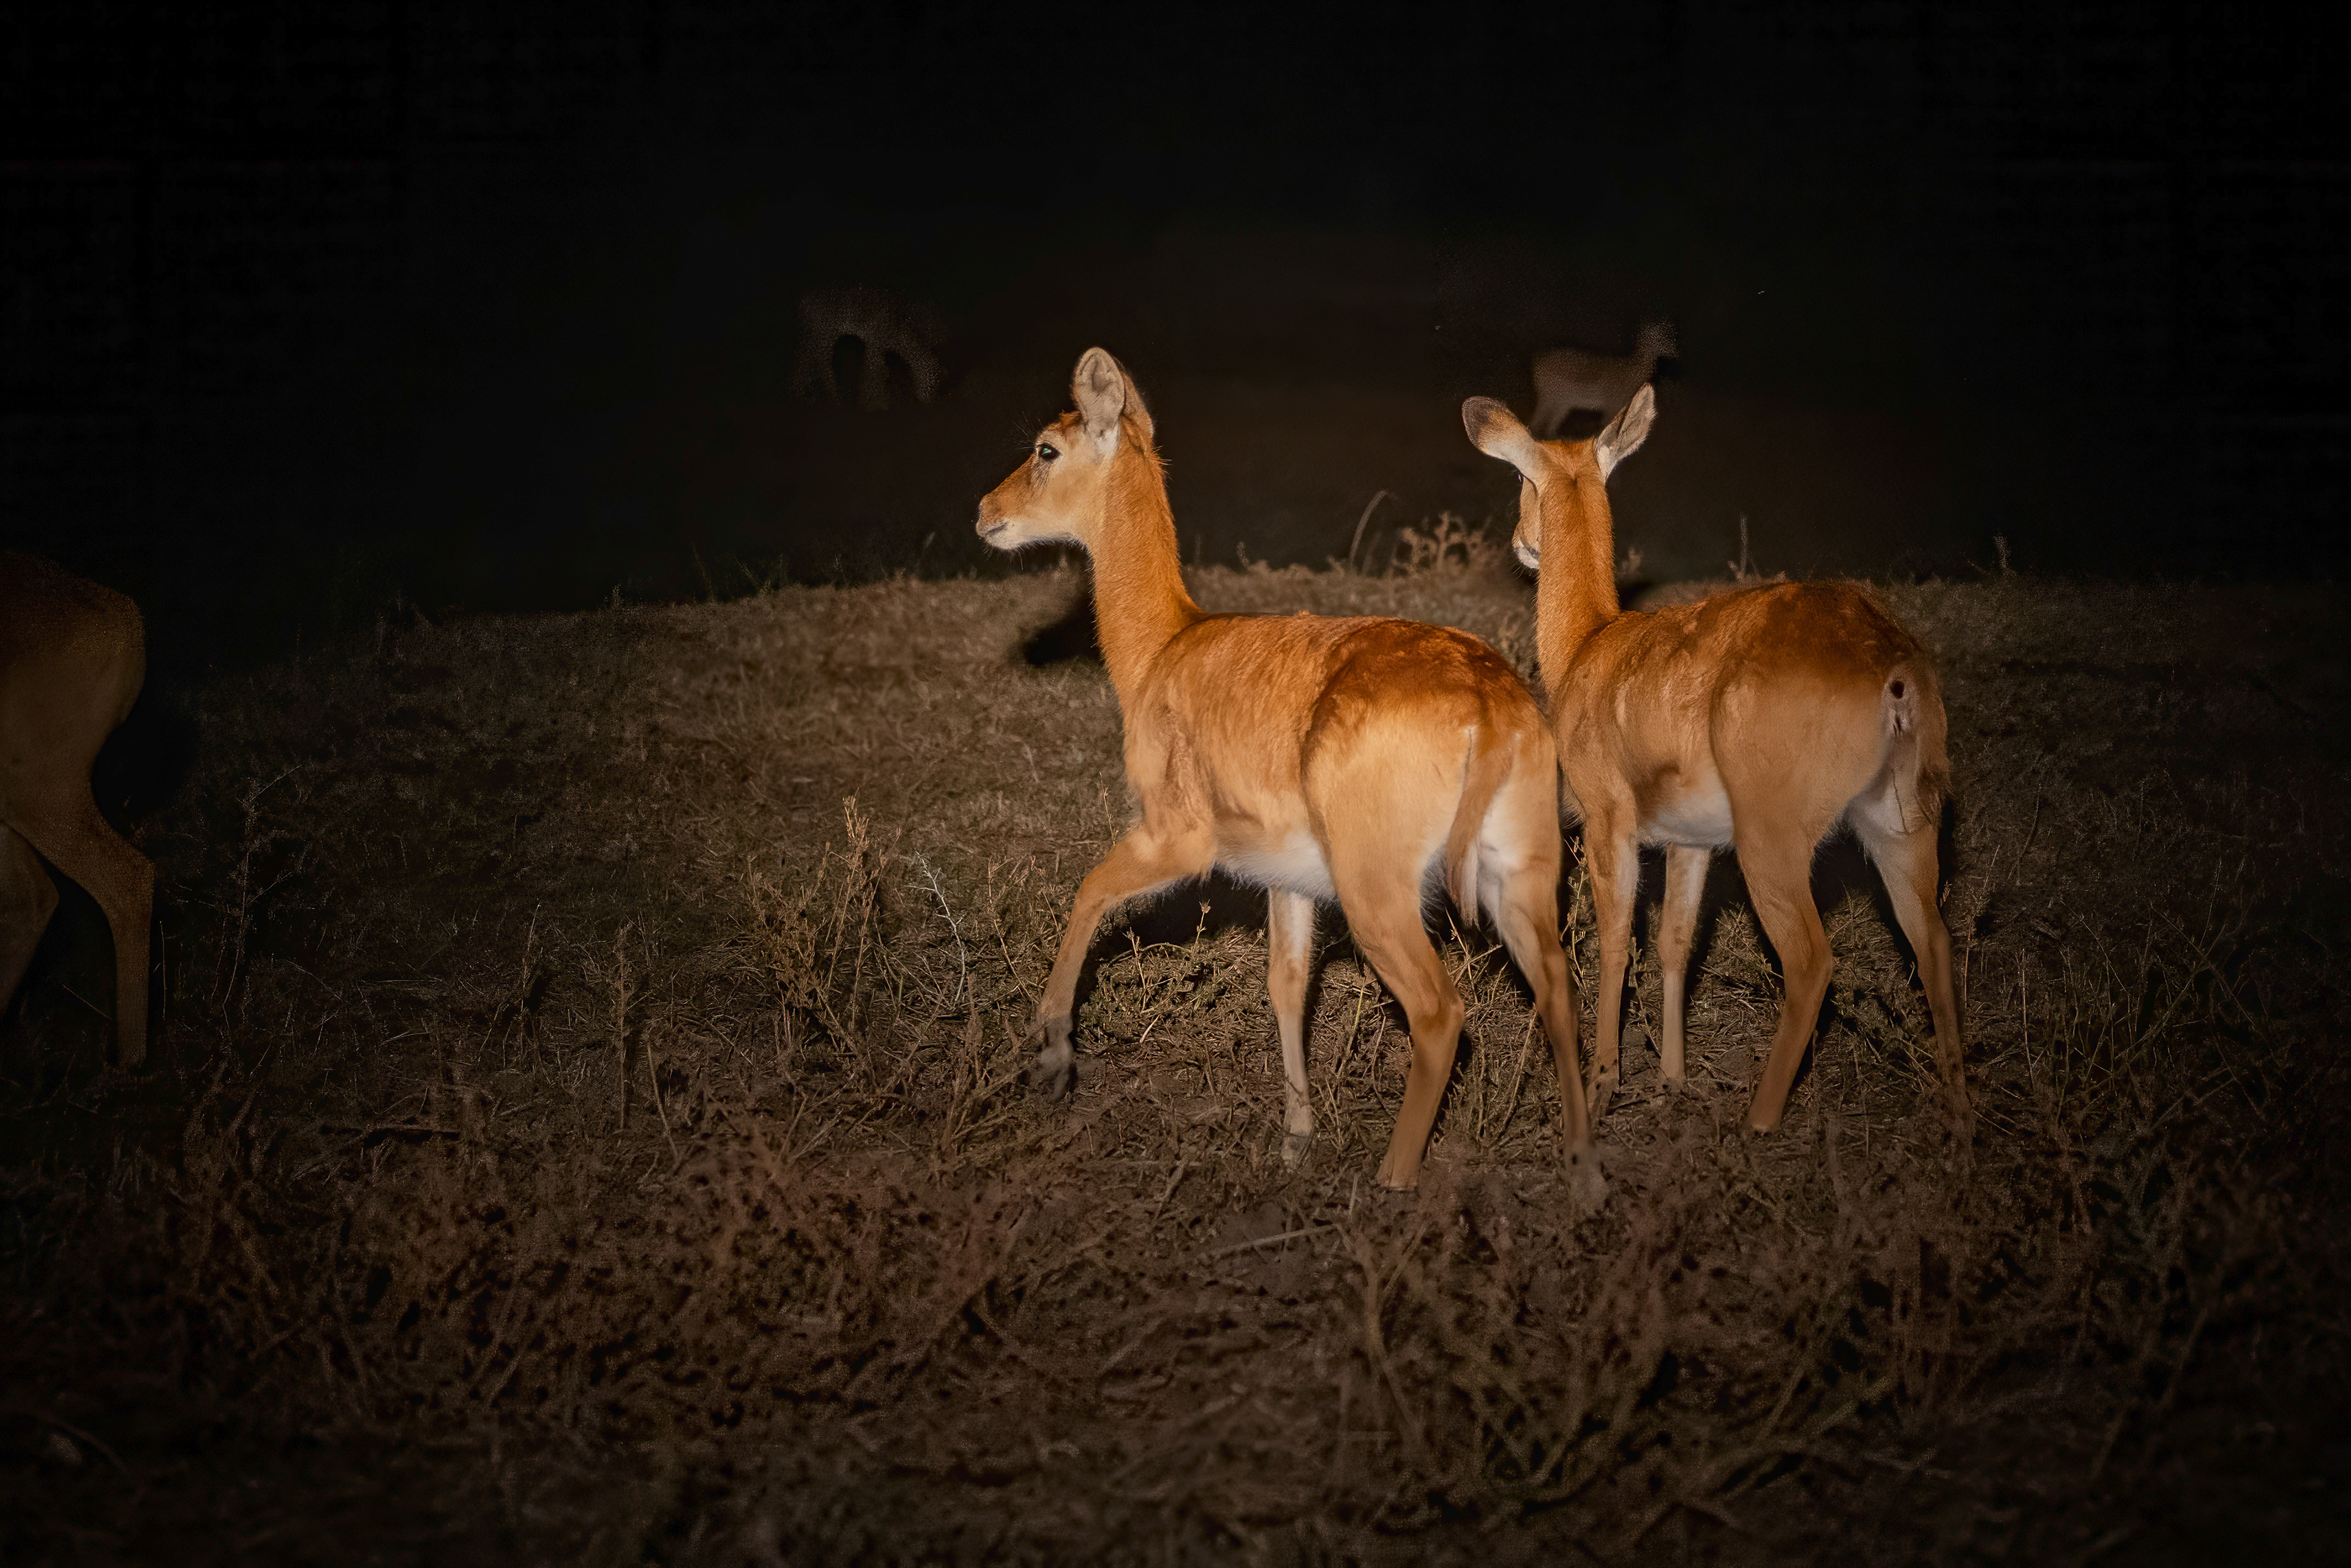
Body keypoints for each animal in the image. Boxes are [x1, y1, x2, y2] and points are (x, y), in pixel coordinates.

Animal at [976, 348, 1601, 1198]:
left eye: (1047, 447)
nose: (985, 510)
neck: (1165, 647)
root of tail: (1490, 706)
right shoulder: (1288, 879)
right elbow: (1286, 982)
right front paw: (1296, 1139)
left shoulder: (1179, 836)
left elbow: (1090, 890)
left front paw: (1052, 1053)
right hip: (1521, 874)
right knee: (1559, 988)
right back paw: (1583, 1171)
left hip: (1381, 891)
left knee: (1441, 1014)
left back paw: (1390, 1180)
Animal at [1461, 386, 1965, 1133]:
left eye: (1524, 475)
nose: (1522, 543)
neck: (1589, 646)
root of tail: (1894, 666)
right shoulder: (1689, 840)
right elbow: (1676, 940)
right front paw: (1672, 1077)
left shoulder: (1609, 822)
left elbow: (1616, 938)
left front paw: (1604, 1080)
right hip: (1901, 823)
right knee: (1932, 942)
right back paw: (1959, 1115)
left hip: (1773, 840)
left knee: (1812, 963)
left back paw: (1757, 1120)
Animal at [1529, 318, 1677, 439]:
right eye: (1665, 337)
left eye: (1670, 335)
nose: (1676, 352)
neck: (1634, 368)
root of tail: (1538, 359)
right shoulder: (1611, 407)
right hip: (1551, 399)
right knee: (1536, 423)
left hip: (1561, 403)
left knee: (1548, 427)